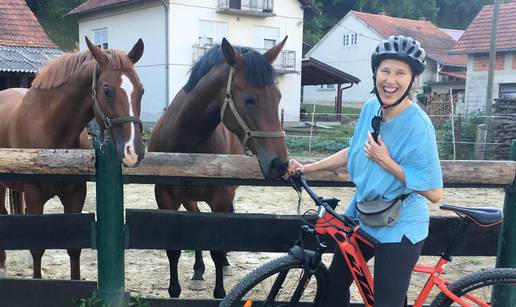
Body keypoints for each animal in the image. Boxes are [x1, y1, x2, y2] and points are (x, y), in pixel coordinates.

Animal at [0, 36, 146, 282]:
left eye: (141, 90)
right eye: (107, 90)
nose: (133, 150)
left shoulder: (75, 195)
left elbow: (74, 248)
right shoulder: (33, 195)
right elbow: (37, 248)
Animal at [149, 38, 290, 298]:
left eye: (278, 96)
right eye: (249, 99)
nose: (280, 163)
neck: (187, 143)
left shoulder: (221, 198)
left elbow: (217, 243)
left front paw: (220, 289)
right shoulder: (165, 197)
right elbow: (174, 249)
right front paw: (176, 289)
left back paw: (223, 264)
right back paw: (198, 271)